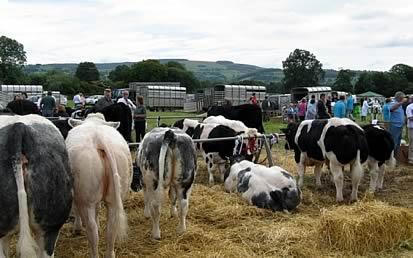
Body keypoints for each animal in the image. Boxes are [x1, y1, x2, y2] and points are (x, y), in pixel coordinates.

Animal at [66, 113, 131, 258]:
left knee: (92, 230)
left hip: (86, 199)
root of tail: (99, 138)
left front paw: (77, 228)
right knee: (111, 228)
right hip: (115, 197)